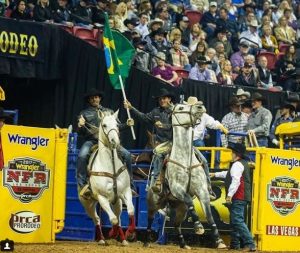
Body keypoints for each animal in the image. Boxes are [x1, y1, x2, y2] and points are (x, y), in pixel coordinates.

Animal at [79, 110, 136, 245]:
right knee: (97, 219)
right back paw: (101, 239)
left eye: (117, 124)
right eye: (104, 125)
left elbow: (130, 211)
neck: (111, 166)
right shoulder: (102, 197)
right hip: (88, 203)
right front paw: (111, 234)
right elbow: (113, 219)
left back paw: (123, 239)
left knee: (118, 217)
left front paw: (129, 233)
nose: (115, 141)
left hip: (117, 201)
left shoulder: (125, 192)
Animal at [144, 103, 226, 249]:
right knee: (150, 219)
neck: (185, 159)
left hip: (180, 208)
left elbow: (209, 215)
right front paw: (198, 226)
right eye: (181, 108)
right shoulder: (178, 189)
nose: (200, 106)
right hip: (153, 203)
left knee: (176, 225)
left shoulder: (202, 190)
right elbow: (189, 200)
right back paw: (147, 241)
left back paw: (183, 244)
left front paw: (219, 240)